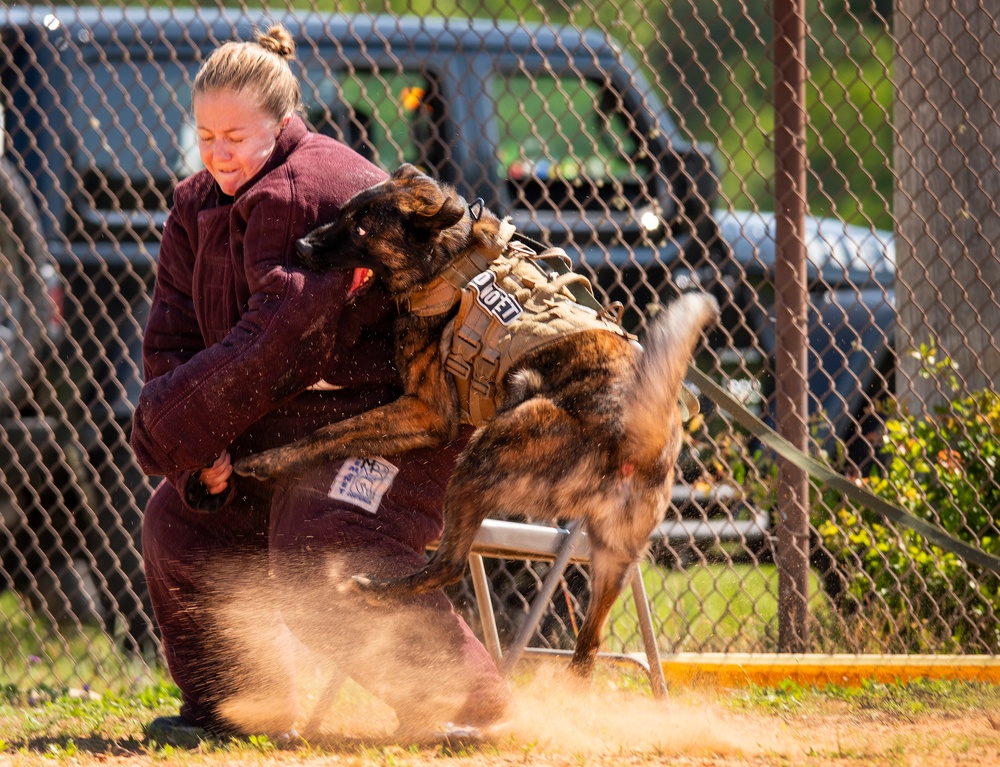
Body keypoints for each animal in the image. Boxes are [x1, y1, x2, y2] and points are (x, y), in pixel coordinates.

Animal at [234, 164, 720, 680]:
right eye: (345, 213)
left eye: (363, 230)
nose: (303, 247)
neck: (450, 257)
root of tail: (638, 433)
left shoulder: (427, 412)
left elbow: (331, 431)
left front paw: (267, 460)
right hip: (610, 556)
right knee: (588, 645)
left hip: (483, 457)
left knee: (449, 565)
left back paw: (372, 590)